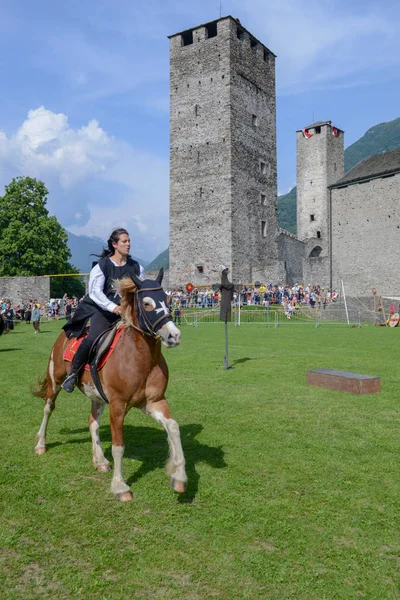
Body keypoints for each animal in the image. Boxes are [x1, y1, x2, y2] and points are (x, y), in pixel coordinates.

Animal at [32, 268, 186, 502]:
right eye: (147, 303)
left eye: (168, 300)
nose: (174, 336)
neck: (140, 359)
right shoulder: (118, 406)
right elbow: (118, 446)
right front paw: (120, 487)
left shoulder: (153, 402)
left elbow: (174, 428)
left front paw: (179, 477)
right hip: (55, 381)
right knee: (48, 409)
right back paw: (41, 444)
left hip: (97, 395)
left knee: (92, 422)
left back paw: (100, 461)